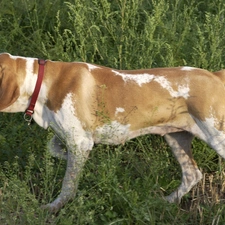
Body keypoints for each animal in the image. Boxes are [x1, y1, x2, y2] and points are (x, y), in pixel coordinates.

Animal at [0, 51, 225, 212]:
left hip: (216, 137)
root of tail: (215, 76)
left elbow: (68, 185)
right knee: (192, 174)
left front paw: (55, 207)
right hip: (176, 137)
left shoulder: (80, 141)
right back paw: (165, 201)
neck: (42, 82)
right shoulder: (72, 139)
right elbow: (54, 149)